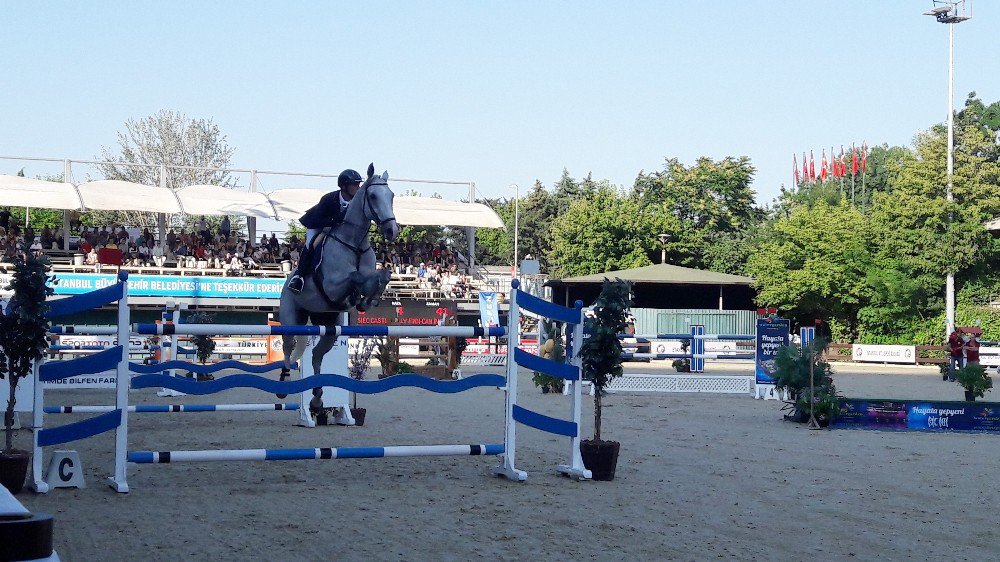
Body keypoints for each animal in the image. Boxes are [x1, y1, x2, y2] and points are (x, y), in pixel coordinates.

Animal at [278, 162, 398, 412]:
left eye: (391, 195)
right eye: (373, 196)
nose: (392, 231)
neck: (355, 243)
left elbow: (381, 275)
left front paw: (368, 299)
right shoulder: (333, 285)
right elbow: (356, 276)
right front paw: (361, 296)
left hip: (330, 327)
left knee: (316, 355)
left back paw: (317, 397)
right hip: (291, 316)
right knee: (287, 346)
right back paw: (284, 386)